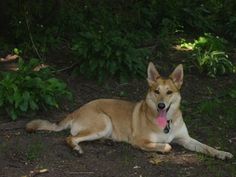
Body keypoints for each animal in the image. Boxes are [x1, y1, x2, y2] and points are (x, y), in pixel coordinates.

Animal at [25, 62, 232, 160]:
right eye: (156, 91)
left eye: (169, 92)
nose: (161, 106)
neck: (167, 123)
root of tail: (76, 110)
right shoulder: (140, 141)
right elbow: (167, 146)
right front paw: (163, 148)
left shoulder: (187, 139)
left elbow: (206, 146)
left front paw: (222, 153)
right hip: (103, 121)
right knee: (70, 137)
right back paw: (77, 149)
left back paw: (108, 142)